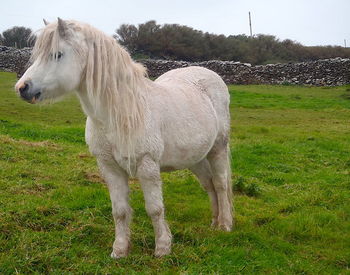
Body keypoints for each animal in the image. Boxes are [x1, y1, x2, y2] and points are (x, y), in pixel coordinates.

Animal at [15, 18, 234, 258]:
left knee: (220, 184)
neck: (120, 112)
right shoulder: (110, 167)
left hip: (218, 149)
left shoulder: (147, 166)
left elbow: (155, 209)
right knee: (209, 185)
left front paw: (162, 248)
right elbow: (119, 211)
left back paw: (225, 225)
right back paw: (214, 223)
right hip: (196, 158)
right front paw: (119, 250)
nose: (22, 88)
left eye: (57, 54)